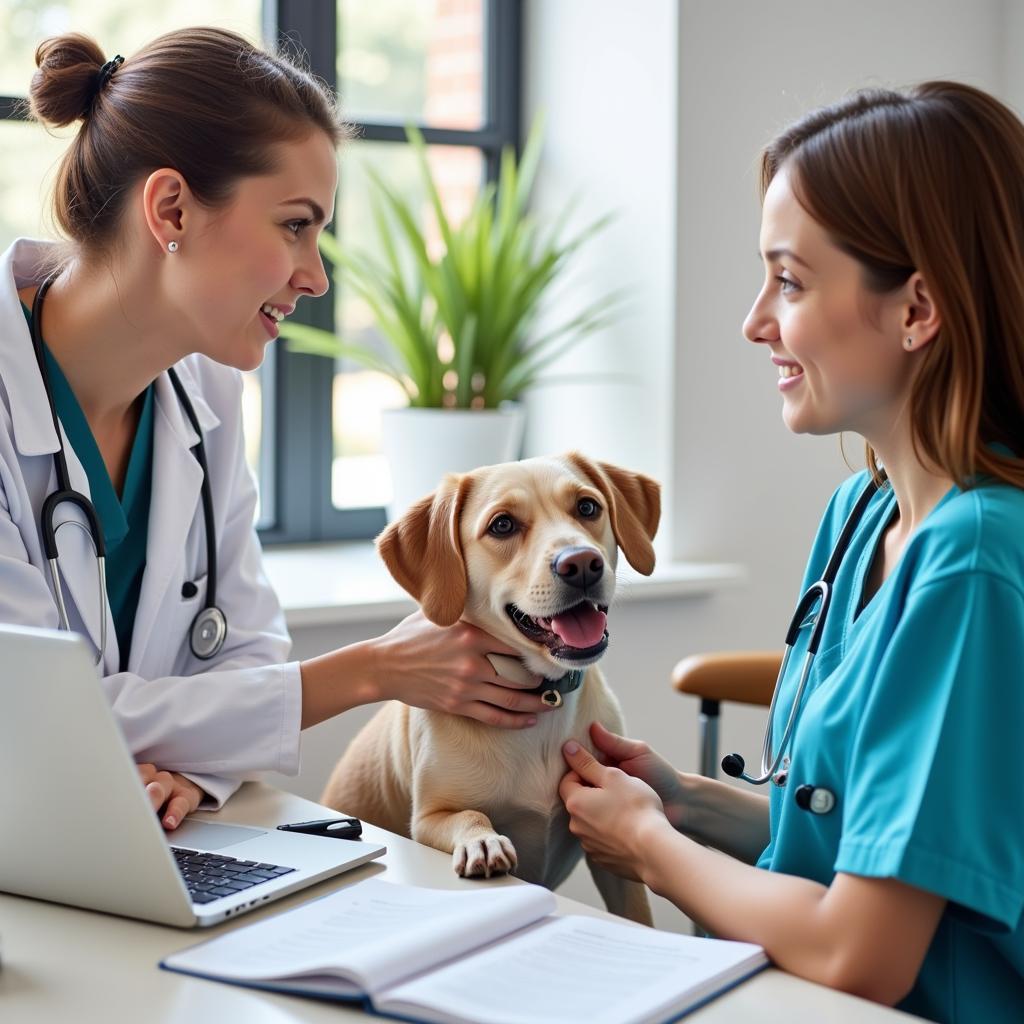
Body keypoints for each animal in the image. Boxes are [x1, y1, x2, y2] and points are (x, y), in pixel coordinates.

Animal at [323, 452, 659, 925]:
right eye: (502, 525)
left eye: (587, 507)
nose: (581, 563)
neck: (546, 695)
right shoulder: (428, 819)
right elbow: (469, 813)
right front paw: (481, 840)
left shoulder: (614, 857)